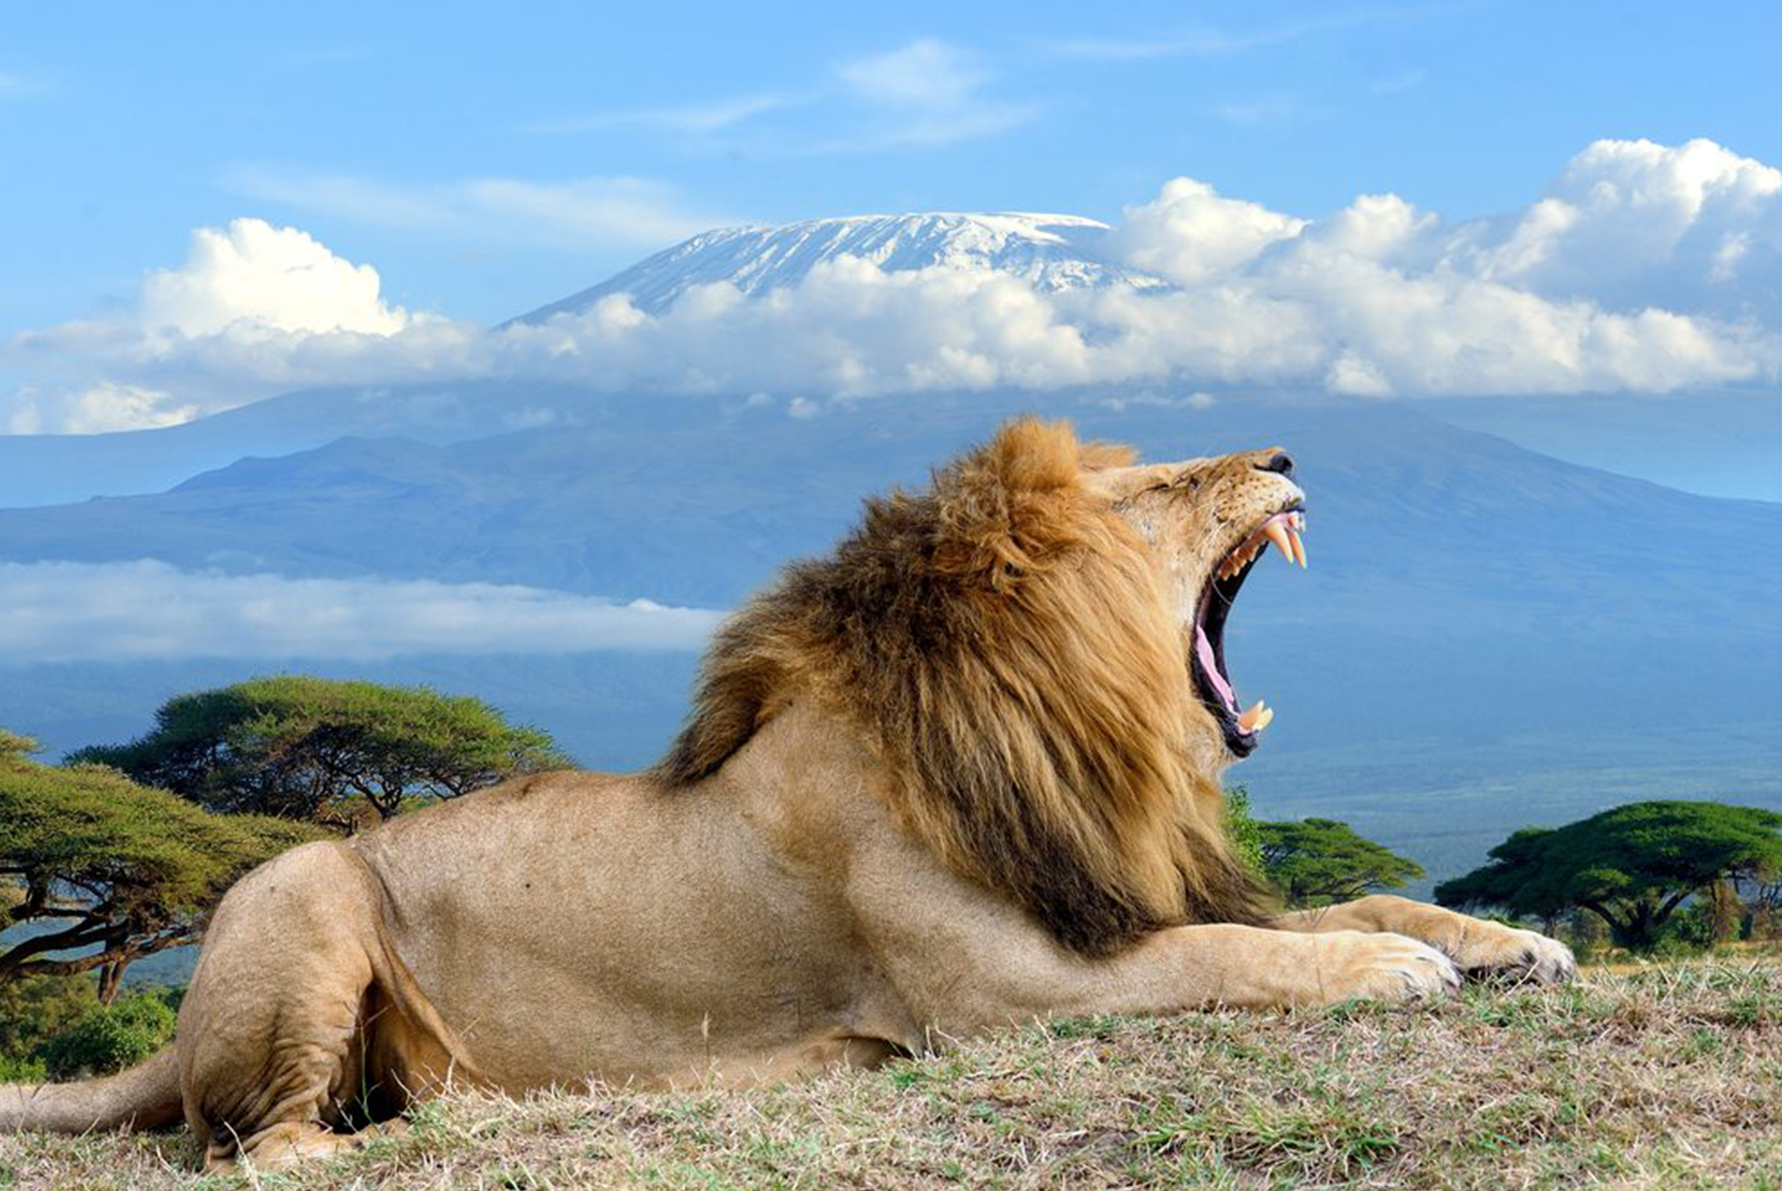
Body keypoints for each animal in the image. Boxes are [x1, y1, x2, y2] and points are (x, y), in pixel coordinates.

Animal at [10, 418, 1575, 1162]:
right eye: (1163, 489)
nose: (1288, 454)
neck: (1072, 731)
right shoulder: (1003, 995)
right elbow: (1234, 953)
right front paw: (1387, 971)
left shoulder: (1112, 887)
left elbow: (1344, 897)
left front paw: (1506, 940)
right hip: (304, 893)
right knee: (264, 1148)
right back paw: (479, 1120)